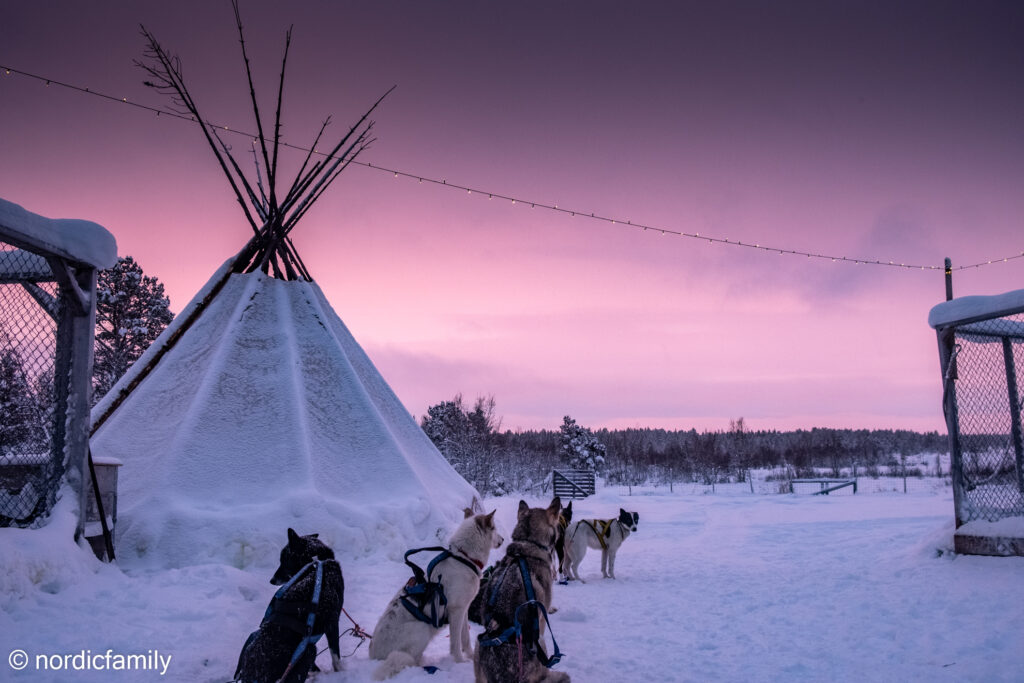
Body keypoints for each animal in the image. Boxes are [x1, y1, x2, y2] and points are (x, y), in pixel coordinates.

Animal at [234, 528, 344, 683]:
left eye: (283, 560)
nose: (272, 580)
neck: (316, 563)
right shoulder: (333, 623)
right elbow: (336, 656)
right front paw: (342, 672)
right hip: (308, 651)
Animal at [370, 507, 501, 679]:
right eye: (494, 528)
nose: (503, 540)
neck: (464, 558)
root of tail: (373, 655)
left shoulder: (463, 610)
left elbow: (465, 638)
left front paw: (471, 656)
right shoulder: (456, 612)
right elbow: (455, 643)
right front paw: (459, 661)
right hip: (421, 628)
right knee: (410, 659)